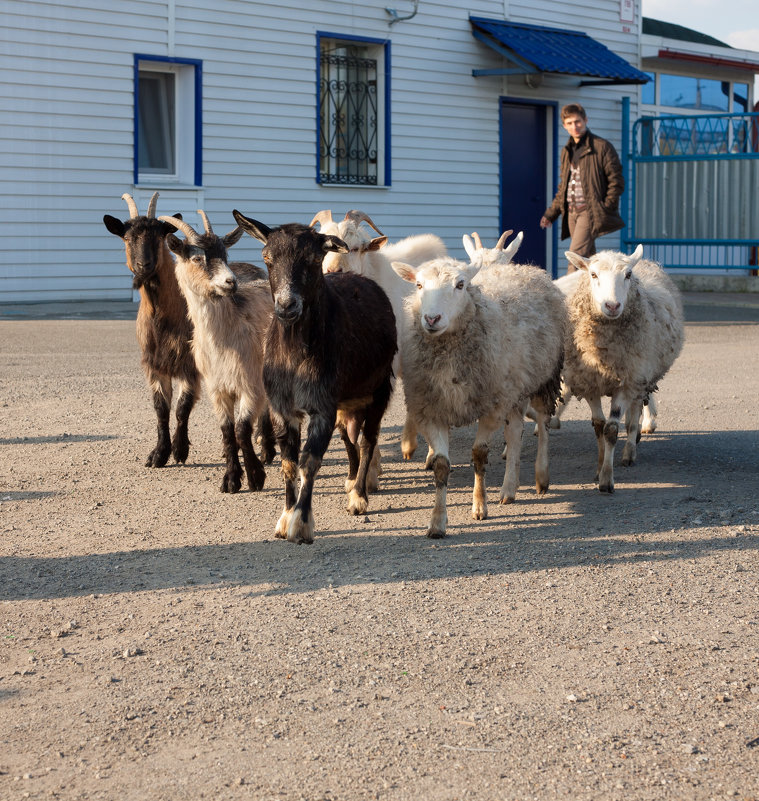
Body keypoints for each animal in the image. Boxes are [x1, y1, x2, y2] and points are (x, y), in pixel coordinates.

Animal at [157, 209, 274, 490]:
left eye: (226, 255)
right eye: (197, 258)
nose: (230, 282)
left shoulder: (249, 383)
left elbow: (242, 430)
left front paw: (255, 476)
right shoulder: (218, 388)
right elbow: (228, 431)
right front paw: (231, 478)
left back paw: (269, 449)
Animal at [232, 209, 398, 544]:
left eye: (312, 258)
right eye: (267, 257)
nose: (287, 306)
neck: (296, 356)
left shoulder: (322, 406)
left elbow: (310, 461)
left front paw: (302, 523)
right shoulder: (283, 408)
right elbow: (288, 462)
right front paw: (285, 518)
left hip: (378, 389)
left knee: (368, 440)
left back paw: (359, 495)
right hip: (347, 401)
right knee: (349, 438)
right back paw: (351, 479)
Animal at [392, 253, 564, 536]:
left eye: (460, 285)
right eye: (418, 285)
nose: (431, 319)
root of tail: (527, 268)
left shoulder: (491, 408)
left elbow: (479, 455)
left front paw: (480, 505)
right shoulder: (432, 410)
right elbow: (441, 465)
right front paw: (437, 522)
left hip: (543, 377)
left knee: (543, 424)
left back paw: (541, 476)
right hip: (513, 388)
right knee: (515, 433)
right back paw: (509, 488)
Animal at [560, 244, 684, 494]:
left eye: (627, 275)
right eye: (593, 274)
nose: (612, 306)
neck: (604, 353)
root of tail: (644, 261)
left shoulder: (627, 383)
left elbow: (611, 429)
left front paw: (607, 479)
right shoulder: (590, 383)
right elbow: (599, 426)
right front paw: (599, 468)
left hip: (640, 376)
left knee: (634, 415)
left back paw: (630, 452)